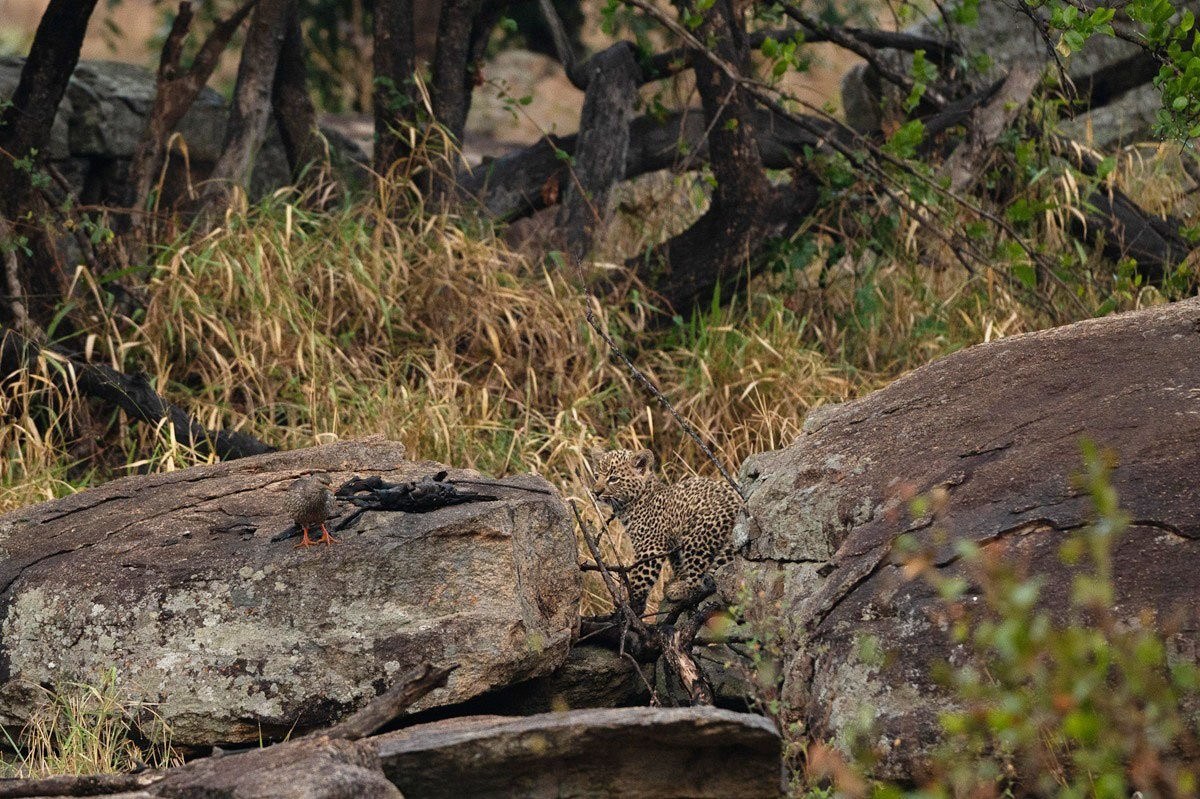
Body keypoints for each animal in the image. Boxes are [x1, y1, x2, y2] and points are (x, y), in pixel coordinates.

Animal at [587, 447, 742, 616]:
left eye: (613, 478)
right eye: (596, 476)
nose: (596, 492)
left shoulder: (650, 546)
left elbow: (640, 577)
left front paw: (632, 605)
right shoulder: (672, 544)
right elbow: (677, 563)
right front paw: (679, 576)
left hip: (698, 535)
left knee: (698, 580)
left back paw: (679, 590)